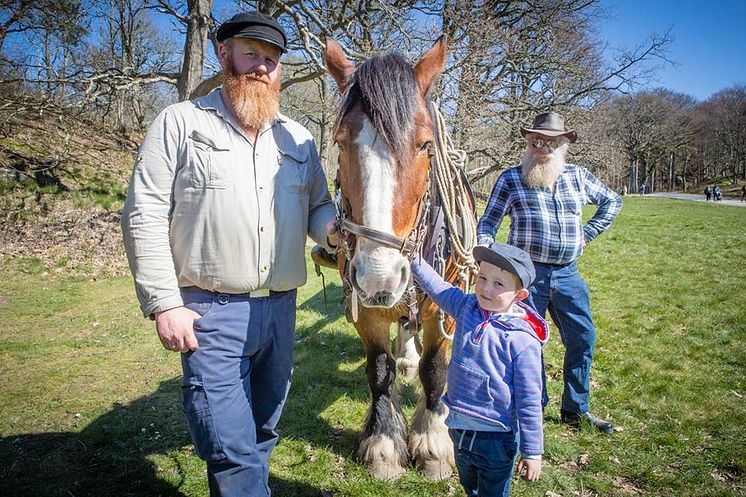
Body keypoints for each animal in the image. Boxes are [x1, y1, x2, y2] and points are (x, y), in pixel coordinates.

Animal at [322, 36, 470, 478]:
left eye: (424, 144)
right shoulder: (365, 309)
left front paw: (433, 441)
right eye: (339, 142)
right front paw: (384, 443)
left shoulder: (448, 306)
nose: (379, 277)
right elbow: (379, 370)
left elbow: (435, 370)